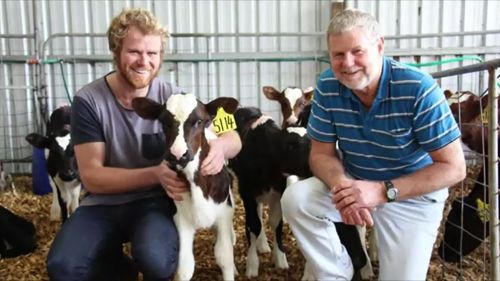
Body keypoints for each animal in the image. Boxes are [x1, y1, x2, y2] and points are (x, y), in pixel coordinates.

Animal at [133, 93, 238, 280]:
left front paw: (230, 269)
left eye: (199, 121)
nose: (177, 155)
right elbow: (185, 267)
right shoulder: (181, 218)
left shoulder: (223, 214)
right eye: (164, 122)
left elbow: (225, 256)